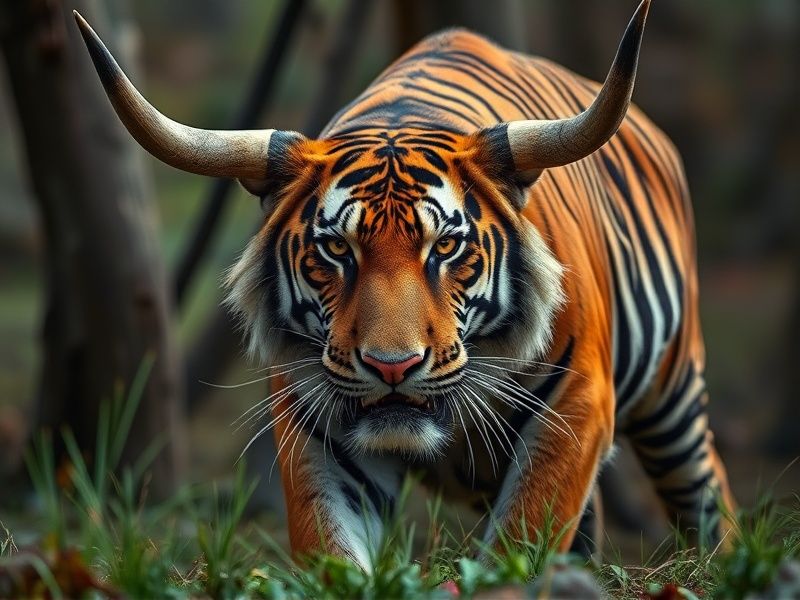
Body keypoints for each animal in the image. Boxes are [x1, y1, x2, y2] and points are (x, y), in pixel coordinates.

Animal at [75, 0, 735, 569]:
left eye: (445, 247)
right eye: (337, 249)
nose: (392, 367)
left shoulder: (578, 402)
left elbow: (522, 537)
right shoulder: (316, 428)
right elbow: (329, 549)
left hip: (674, 395)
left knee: (707, 490)